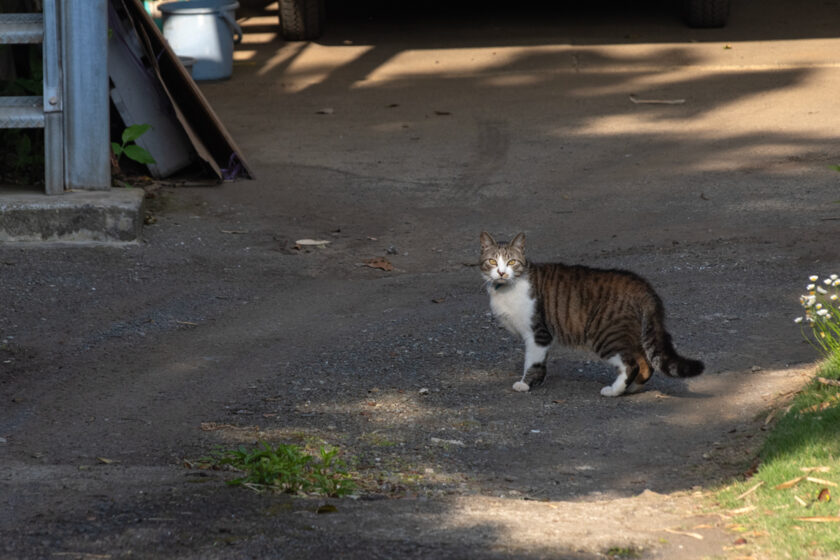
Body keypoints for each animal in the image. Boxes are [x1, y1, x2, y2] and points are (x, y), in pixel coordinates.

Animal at [480, 230, 704, 396]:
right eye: (492, 262)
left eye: (511, 262)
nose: (501, 273)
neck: (508, 287)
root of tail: (640, 284)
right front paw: (537, 381)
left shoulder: (538, 333)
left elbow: (533, 362)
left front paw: (526, 383)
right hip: (629, 334)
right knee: (645, 364)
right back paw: (631, 388)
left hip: (604, 334)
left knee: (631, 364)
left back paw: (614, 390)